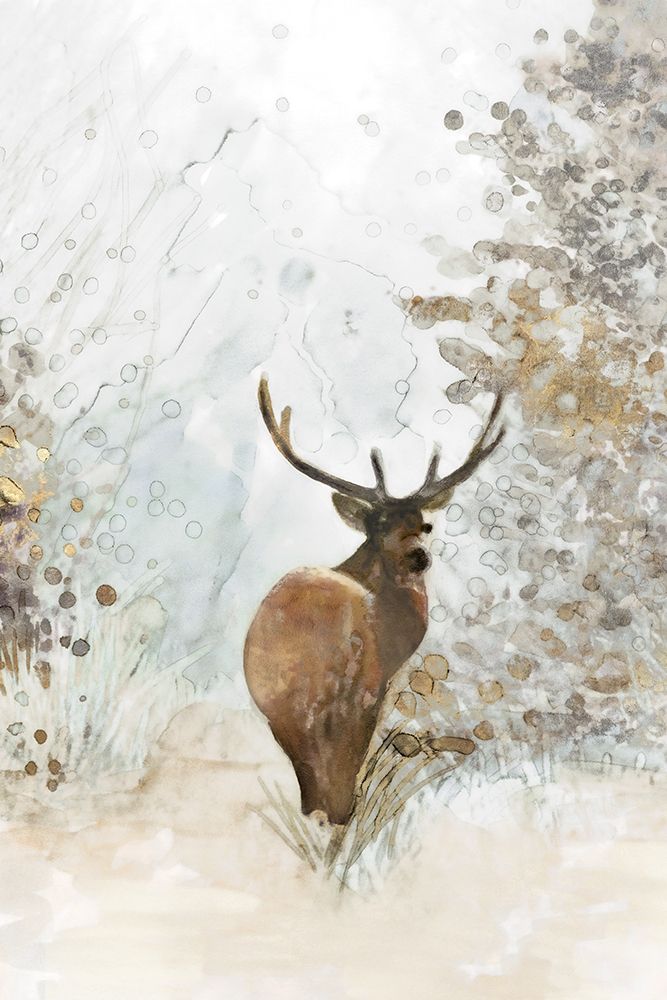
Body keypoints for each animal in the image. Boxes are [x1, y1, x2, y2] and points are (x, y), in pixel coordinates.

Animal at [244, 375, 504, 826]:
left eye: (426, 524)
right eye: (378, 523)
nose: (419, 556)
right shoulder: (377, 683)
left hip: (278, 702)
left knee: (308, 765)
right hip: (350, 688)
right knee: (338, 759)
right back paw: (339, 817)